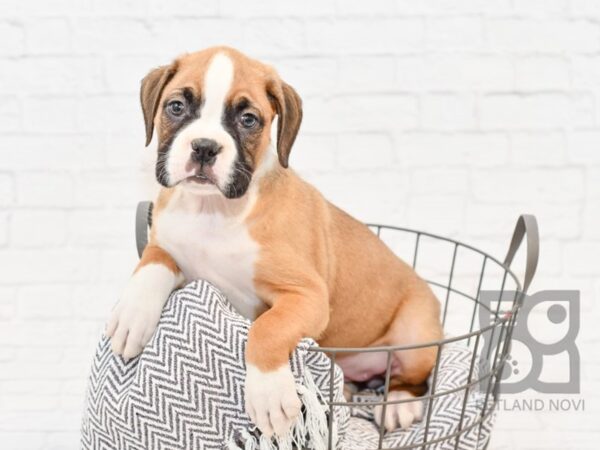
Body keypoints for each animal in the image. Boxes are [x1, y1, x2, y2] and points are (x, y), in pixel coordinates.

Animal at [105, 47, 442, 438]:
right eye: (176, 106)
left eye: (248, 119)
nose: (204, 147)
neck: (213, 210)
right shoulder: (167, 245)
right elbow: (153, 263)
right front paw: (132, 316)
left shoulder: (307, 296)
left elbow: (268, 328)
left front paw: (267, 394)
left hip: (416, 336)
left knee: (414, 379)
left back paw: (400, 403)